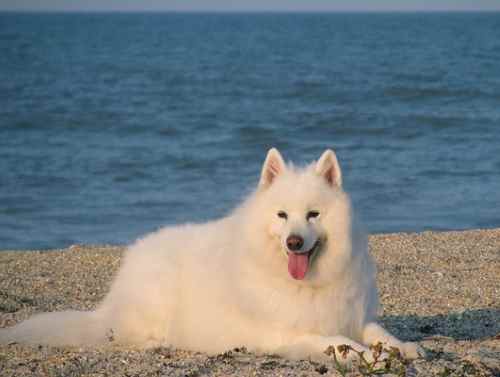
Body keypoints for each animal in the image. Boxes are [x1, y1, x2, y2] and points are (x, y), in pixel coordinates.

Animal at [0, 148, 422, 362]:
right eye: (282, 215)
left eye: (313, 215)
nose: (293, 242)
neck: (308, 284)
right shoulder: (289, 331)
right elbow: (339, 342)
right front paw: (368, 355)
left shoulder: (354, 314)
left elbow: (378, 332)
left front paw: (404, 346)